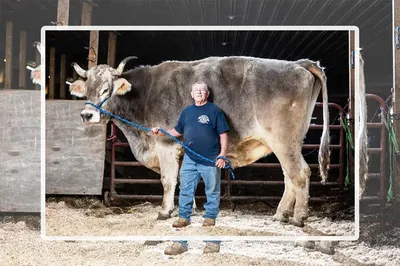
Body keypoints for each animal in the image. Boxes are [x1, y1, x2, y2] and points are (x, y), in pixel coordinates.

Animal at [69, 55, 332, 227]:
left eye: (107, 89)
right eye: (87, 90)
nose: (87, 115)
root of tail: (298, 63)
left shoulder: (165, 144)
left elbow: (168, 180)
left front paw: (164, 211)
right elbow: (186, 180)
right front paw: (189, 209)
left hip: (283, 141)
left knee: (300, 174)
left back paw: (298, 218)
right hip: (289, 143)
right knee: (290, 177)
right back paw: (280, 215)